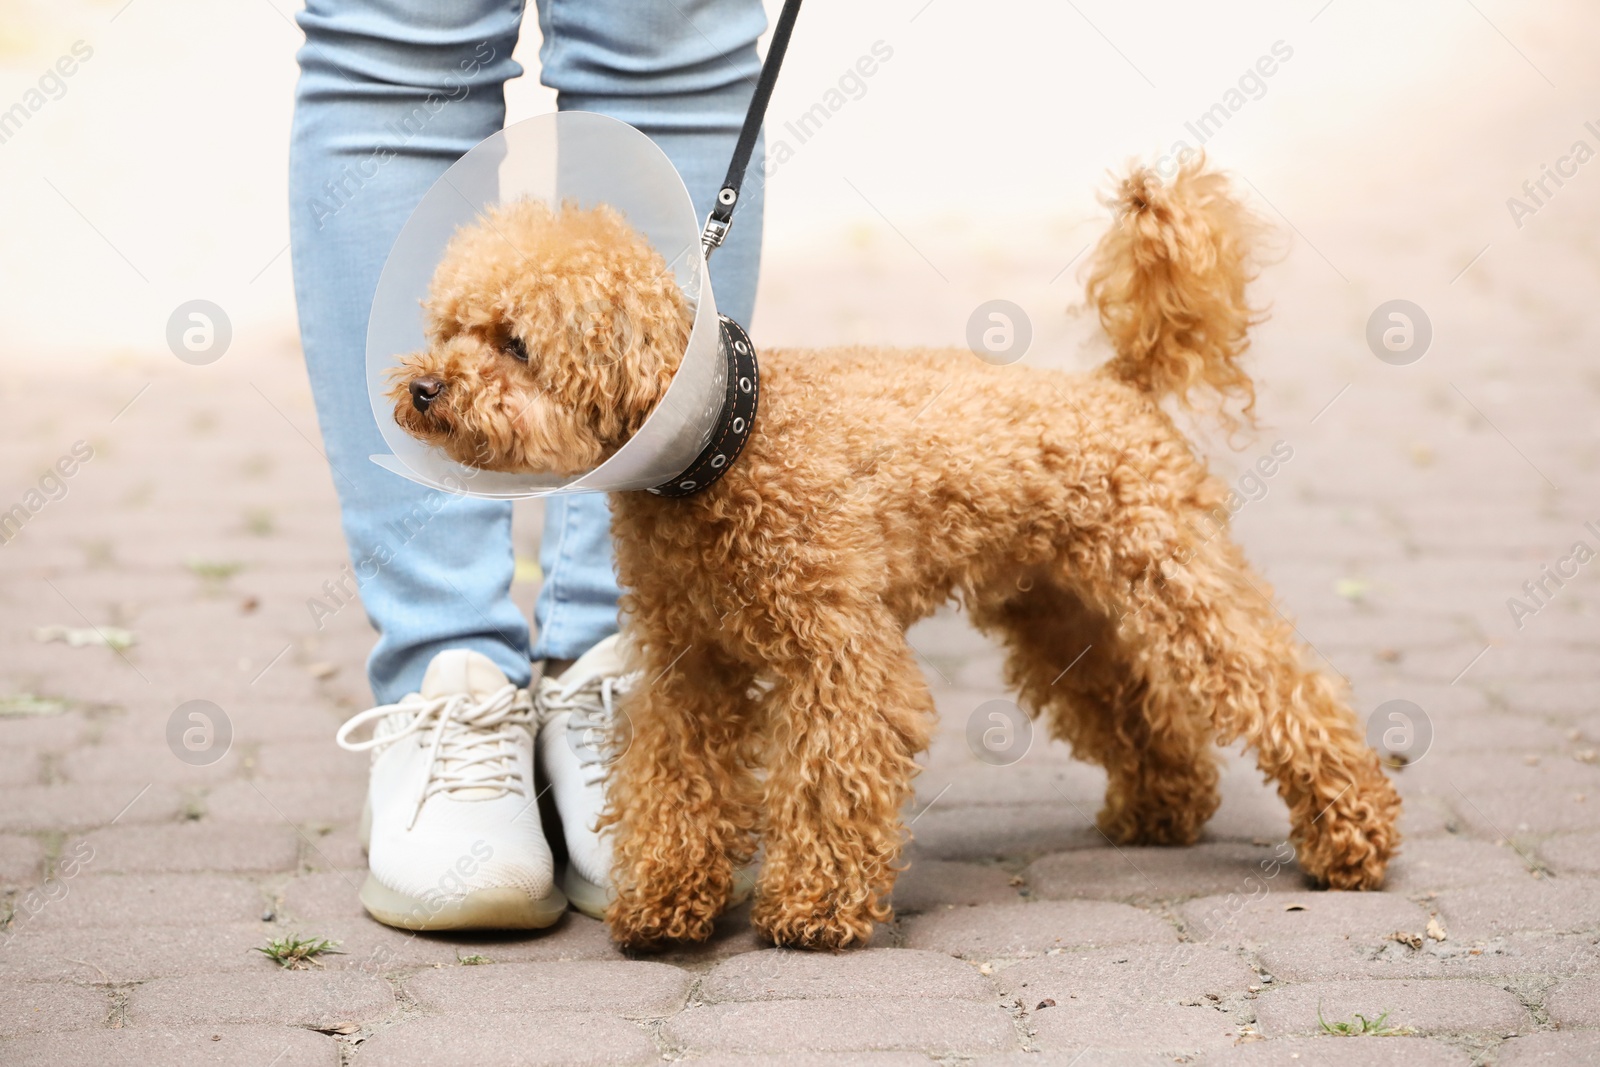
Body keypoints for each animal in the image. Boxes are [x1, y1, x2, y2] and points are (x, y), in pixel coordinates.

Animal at [387, 156, 1401, 953]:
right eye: (448, 327)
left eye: (516, 343)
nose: (424, 389)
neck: (730, 448)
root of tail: (1120, 388)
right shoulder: (688, 667)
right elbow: (676, 783)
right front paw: (667, 902)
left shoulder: (841, 654)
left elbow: (830, 778)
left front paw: (813, 907)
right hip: (1058, 608)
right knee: (1133, 700)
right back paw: (1165, 806)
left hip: (1178, 577)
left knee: (1287, 689)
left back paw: (1353, 835)